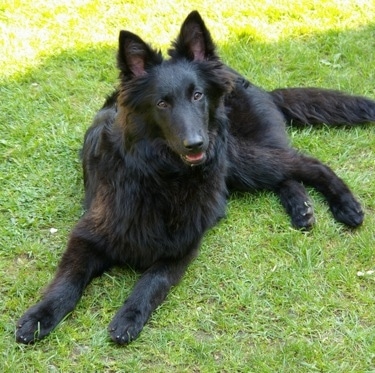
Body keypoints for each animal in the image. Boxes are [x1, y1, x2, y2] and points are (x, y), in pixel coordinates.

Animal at [16, 10, 375, 342]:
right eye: (162, 103)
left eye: (197, 95)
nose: (195, 144)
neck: (161, 177)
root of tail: (259, 88)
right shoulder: (87, 235)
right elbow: (68, 280)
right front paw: (41, 315)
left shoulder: (183, 246)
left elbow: (153, 281)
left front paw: (130, 315)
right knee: (287, 175)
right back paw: (302, 209)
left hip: (237, 159)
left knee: (307, 163)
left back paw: (345, 205)